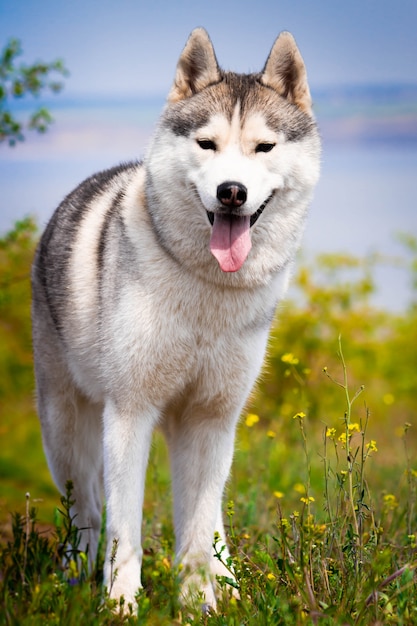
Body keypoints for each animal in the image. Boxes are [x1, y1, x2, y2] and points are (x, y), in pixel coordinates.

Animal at [31, 28, 318, 604]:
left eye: (265, 147)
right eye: (207, 144)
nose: (232, 192)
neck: (208, 288)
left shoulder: (212, 418)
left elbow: (199, 528)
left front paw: (200, 602)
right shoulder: (129, 412)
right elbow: (124, 527)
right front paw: (120, 603)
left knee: (208, 518)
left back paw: (229, 583)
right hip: (66, 432)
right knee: (85, 513)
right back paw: (74, 579)